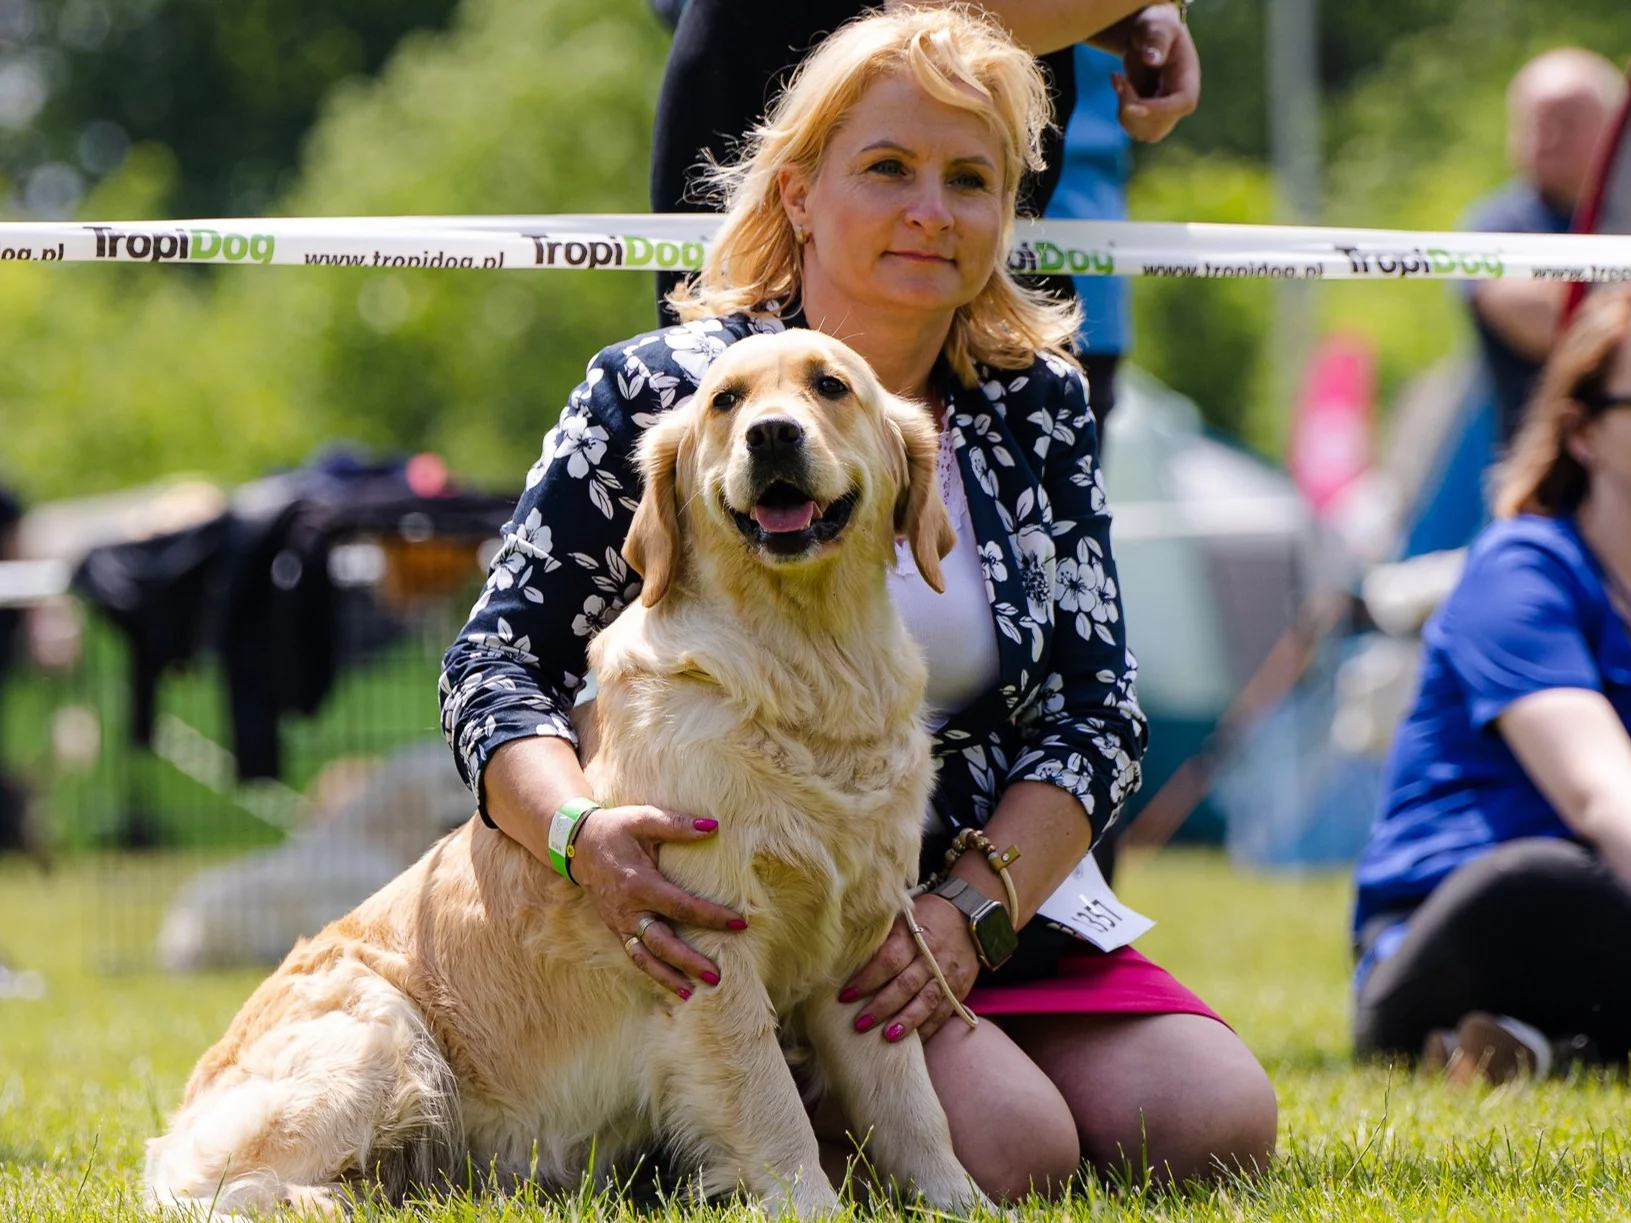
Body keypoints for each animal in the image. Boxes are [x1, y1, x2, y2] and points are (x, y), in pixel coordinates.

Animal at [143, 331, 978, 1219]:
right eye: (726, 400)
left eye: (831, 386)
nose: (771, 435)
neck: (805, 664)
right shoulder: (711, 952)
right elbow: (772, 1108)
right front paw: (811, 1206)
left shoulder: (861, 950)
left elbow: (915, 1110)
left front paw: (967, 1203)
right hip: (380, 1028)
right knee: (214, 1189)